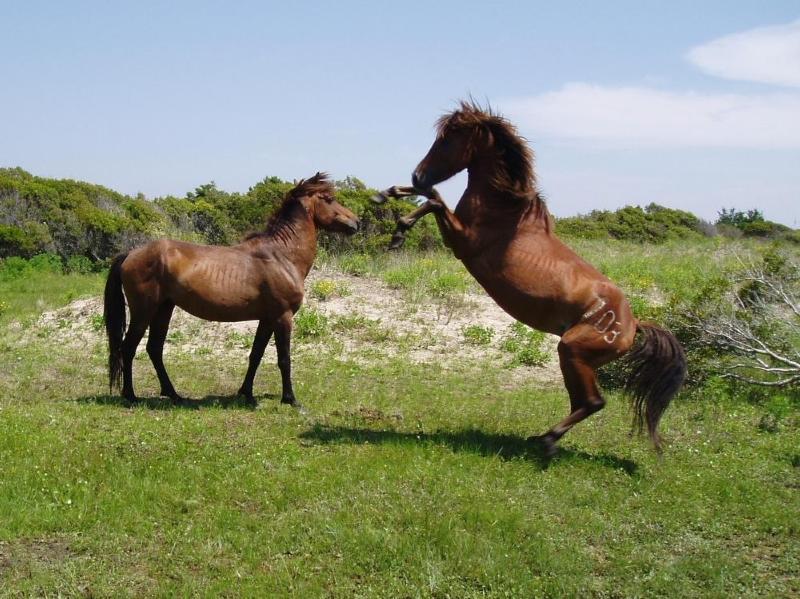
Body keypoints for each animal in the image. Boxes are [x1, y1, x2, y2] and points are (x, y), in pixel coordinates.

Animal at [104, 172, 360, 408]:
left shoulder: (267, 319)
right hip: (143, 312)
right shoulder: (282, 317)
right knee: (128, 348)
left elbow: (256, 355)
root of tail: (131, 253)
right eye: (329, 198)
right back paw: (131, 396)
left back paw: (173, 394)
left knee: (154, 349)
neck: (282, 256)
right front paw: (290, 399)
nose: (356, 222)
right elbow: (284, 359)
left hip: (163, 309)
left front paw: (246, 393)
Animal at [376, 103, 688, 454]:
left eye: (448, 139)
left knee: (593, 402)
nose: (417, 174)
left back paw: (547, 442)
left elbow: (434, 200)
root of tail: (634, 324)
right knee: (584, 403)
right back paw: (542, 438)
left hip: (572, 353)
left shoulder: (463, 243)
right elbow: (431, 195)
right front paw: (387, 195)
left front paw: (399, 231)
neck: (505, 209)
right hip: (577, 360)